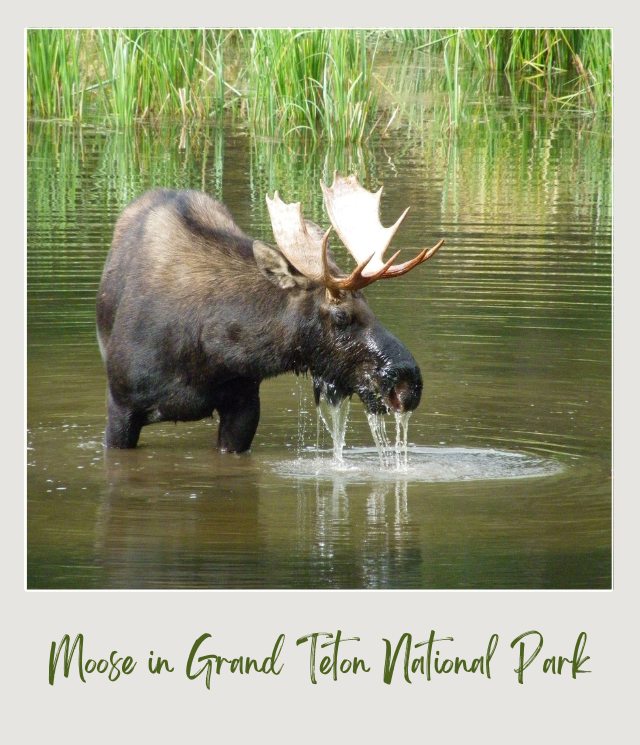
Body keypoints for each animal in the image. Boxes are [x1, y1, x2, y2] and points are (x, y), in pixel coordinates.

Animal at [96, 175, 444, 454]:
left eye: (370, 305)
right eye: (341, 316)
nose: (408, 384)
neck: (211, 352)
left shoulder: (244, 405)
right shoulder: (121, 406)